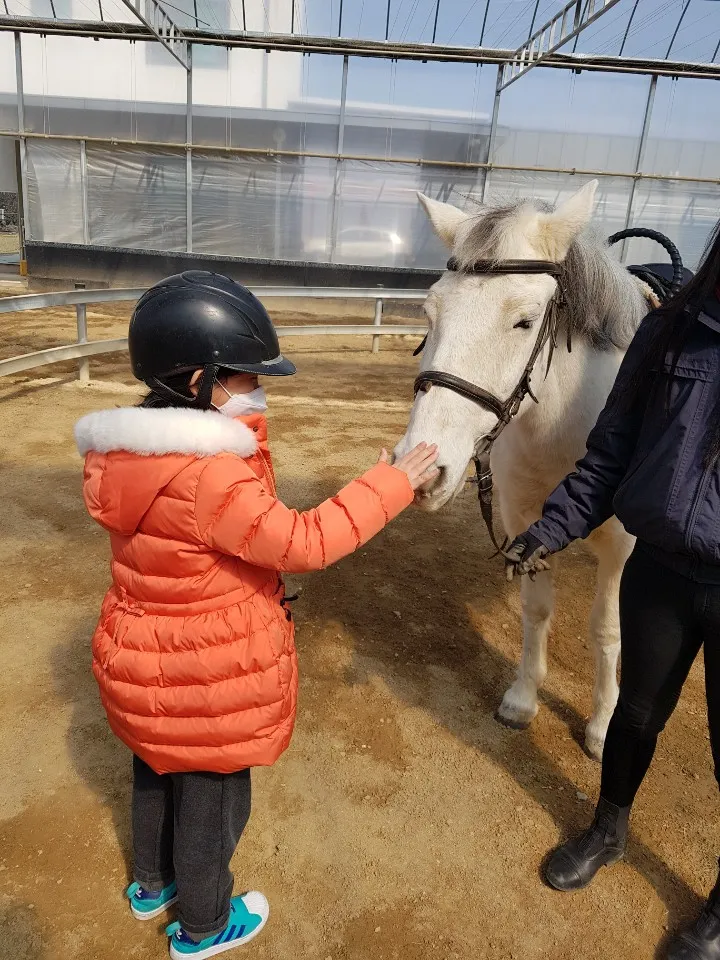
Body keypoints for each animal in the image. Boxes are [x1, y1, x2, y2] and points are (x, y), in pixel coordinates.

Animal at [395, 180, 653, 760]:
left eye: (525, 321)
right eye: (430, 313)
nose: (423, 466)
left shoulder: (622, 545)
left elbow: (607, 629)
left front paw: (603, 725)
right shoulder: (523, 522)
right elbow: (535, 610)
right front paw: (521, 698)